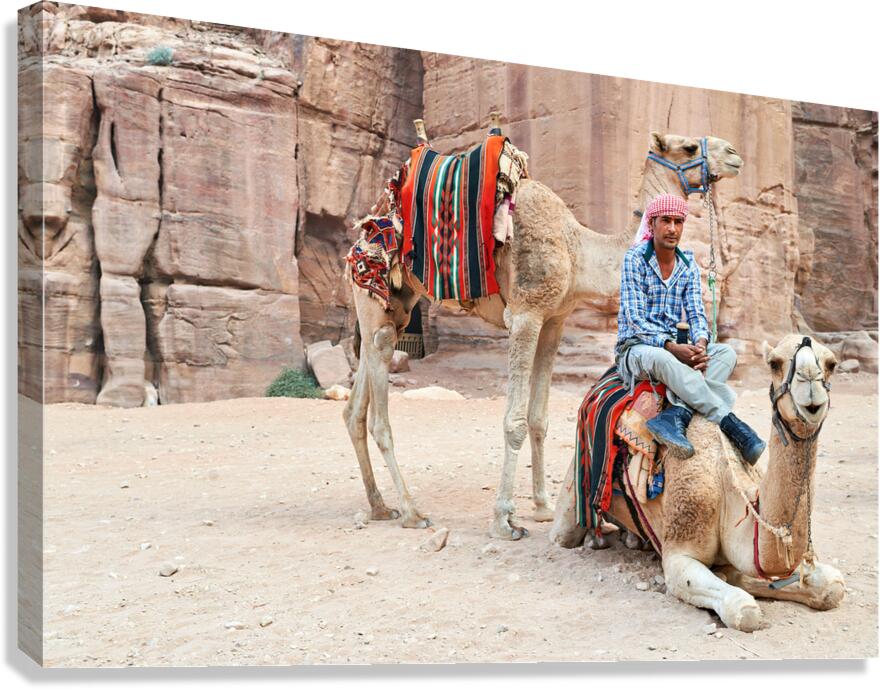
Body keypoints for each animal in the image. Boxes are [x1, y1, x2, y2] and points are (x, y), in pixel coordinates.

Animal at [344, 124, 744, 539]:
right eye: (687, 147)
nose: (734, 154)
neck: (577, 249)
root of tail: (365, 230)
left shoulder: (555, 319)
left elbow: (539, 420)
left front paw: (542, 506)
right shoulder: (525, 313)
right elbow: (515, 422)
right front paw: (503, 520)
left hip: (397, 305)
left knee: (357, 403)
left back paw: (379, 506)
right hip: (373, 299)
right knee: (378, 406)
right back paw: (411, 511)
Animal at [550, 334, 846, 631]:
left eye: (831, 363)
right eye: (774, 363)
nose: (810, 385)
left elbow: (833, 586)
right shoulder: (681, 546)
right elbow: (744, 609)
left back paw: (633, 539)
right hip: (576, 475)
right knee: (564, 532)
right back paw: (593, 538)